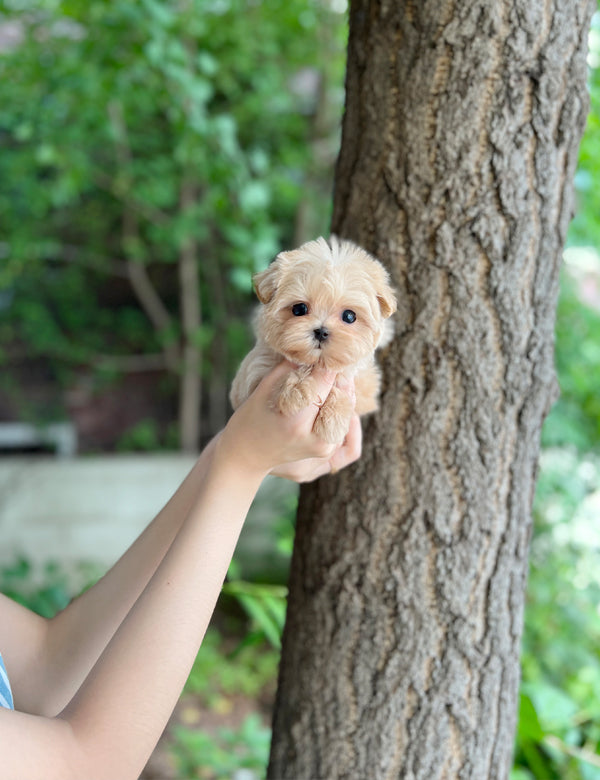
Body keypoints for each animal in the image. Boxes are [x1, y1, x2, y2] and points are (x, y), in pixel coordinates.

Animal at [232, 235, 396, 444]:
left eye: (349, 316)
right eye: (299, 309)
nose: (321, 332)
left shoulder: (365, 384)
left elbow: (348, 388)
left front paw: (333, 421)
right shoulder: (249, 380)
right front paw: (296, 391)